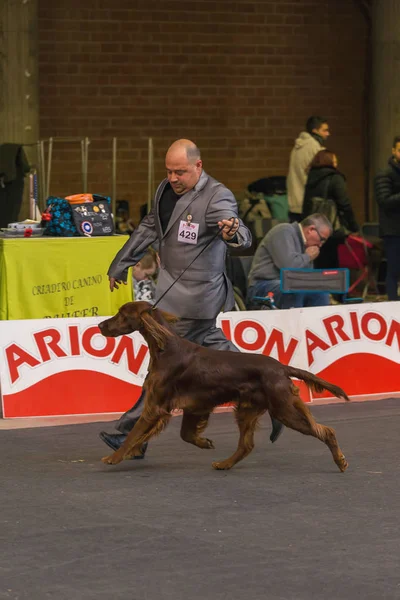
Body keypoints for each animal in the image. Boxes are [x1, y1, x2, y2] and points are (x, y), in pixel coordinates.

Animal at [98, 302, 348, 472]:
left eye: (122, 314)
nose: (100, 324)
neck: (165, 348)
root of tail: (281, 367)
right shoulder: (194, 406)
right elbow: (184, 434)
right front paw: (204, 442)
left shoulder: (156, 405)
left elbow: (135, 432)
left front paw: (115, 457)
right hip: (249, 410)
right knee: (246, 445)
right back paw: (224, 464)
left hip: (282, 408)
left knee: (327, 431)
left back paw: (341, 461)